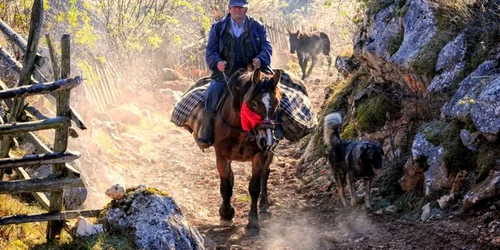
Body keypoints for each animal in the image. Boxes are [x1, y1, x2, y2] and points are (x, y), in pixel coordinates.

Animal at [208, 68, 282, 236]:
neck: (241, 130)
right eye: (253, 103)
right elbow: (226, 186)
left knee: (265, 175)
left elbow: (254, 187)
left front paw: (253, 224)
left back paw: (264, 207)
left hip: (269, 153)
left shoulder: (260, 156)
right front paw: (226, 215)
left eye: (277, 104)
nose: (266, 140)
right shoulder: (221, 157)